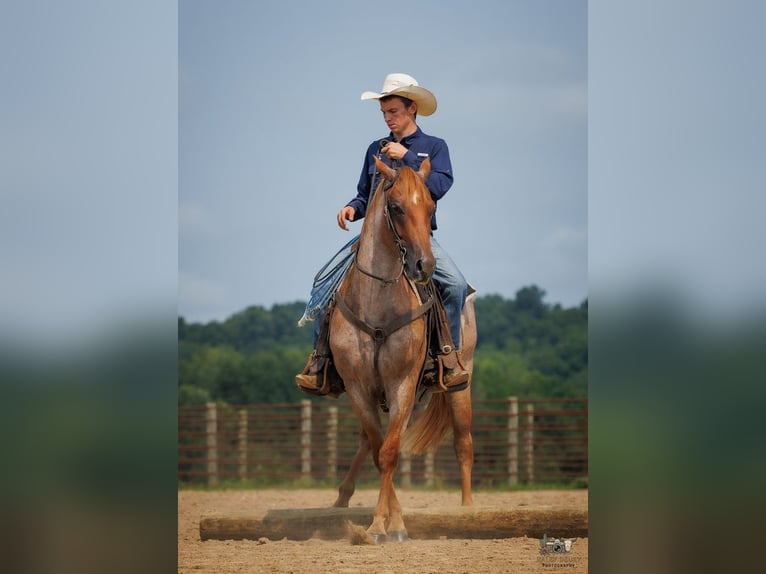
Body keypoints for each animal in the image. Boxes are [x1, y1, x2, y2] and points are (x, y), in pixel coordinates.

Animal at [328, 155, 477, 543]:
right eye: (395, 207)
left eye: (431, 206)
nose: (424, 265)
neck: (377, 303)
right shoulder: (358, 388)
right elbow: (379, 450)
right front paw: (385, 521)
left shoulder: (403, 385)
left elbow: (391, 452)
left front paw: (388, 525)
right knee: (367, 442)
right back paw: (341, 498)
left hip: (461, 387)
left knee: (463, 443)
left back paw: (468, 509)